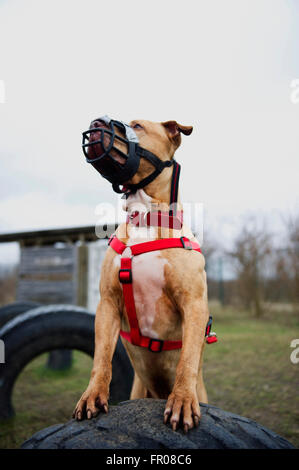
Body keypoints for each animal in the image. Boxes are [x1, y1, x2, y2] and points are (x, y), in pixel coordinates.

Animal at [74, 118, 211, 434]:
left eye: (137, 125)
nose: (96, 122)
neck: (147, 217)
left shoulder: (194, 303)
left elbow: (187, 359)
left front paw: (182, 400)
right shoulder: (108, 303)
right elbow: (102, 357)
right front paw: (93, 394)